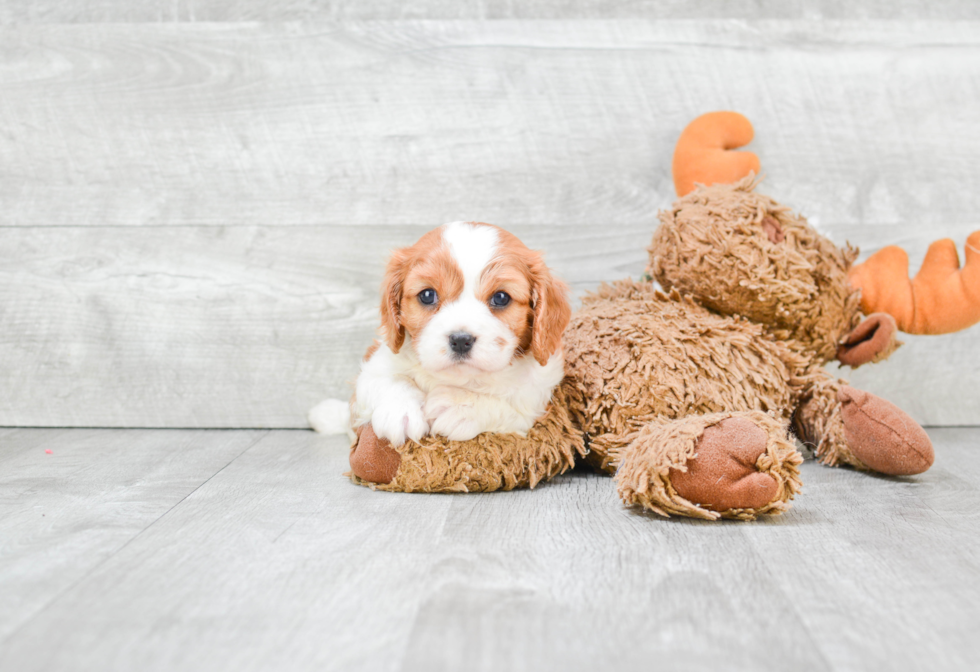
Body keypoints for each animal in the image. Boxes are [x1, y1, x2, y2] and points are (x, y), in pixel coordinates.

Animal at [334, 220, 572, 446]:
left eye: (501, 297)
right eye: (427, 295)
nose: (460, 340)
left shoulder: (537, 397)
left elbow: (511, 406)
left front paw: (462, 406)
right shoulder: (377, 362)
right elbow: (389, 378)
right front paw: (400, 410)